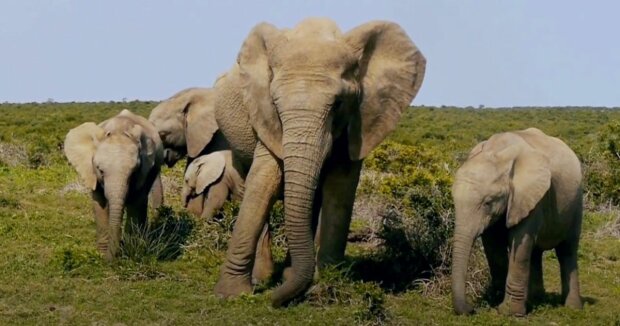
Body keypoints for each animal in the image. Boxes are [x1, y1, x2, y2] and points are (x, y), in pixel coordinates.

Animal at [64, 109, 163, 260]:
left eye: (133, 172)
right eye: (100, 170)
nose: (110, 260)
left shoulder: (144, 171)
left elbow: (136, 203)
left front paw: (129, 251)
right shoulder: (92, 174)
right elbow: (100, 204)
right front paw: (102, 254)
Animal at [213, 18, 426, 308]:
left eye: (338, 104)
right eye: (275, 104)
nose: (272, 301)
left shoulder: (359, 118)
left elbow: (340, 190)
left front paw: (323, 289)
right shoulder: (265, 117)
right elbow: (264, 181)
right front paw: (230, 295)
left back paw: (290, 274)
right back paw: (265, 277)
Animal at [450, 127, 580, 316]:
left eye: (488, 202)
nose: (471, 309)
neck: (498, 152)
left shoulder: (529, 196)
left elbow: (519, 241)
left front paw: (509, 312)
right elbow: (493, 245)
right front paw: (496, 301)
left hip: (576, 201)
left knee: (567, 250)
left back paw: (572, 308)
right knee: (535, 252)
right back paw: (535, 300)